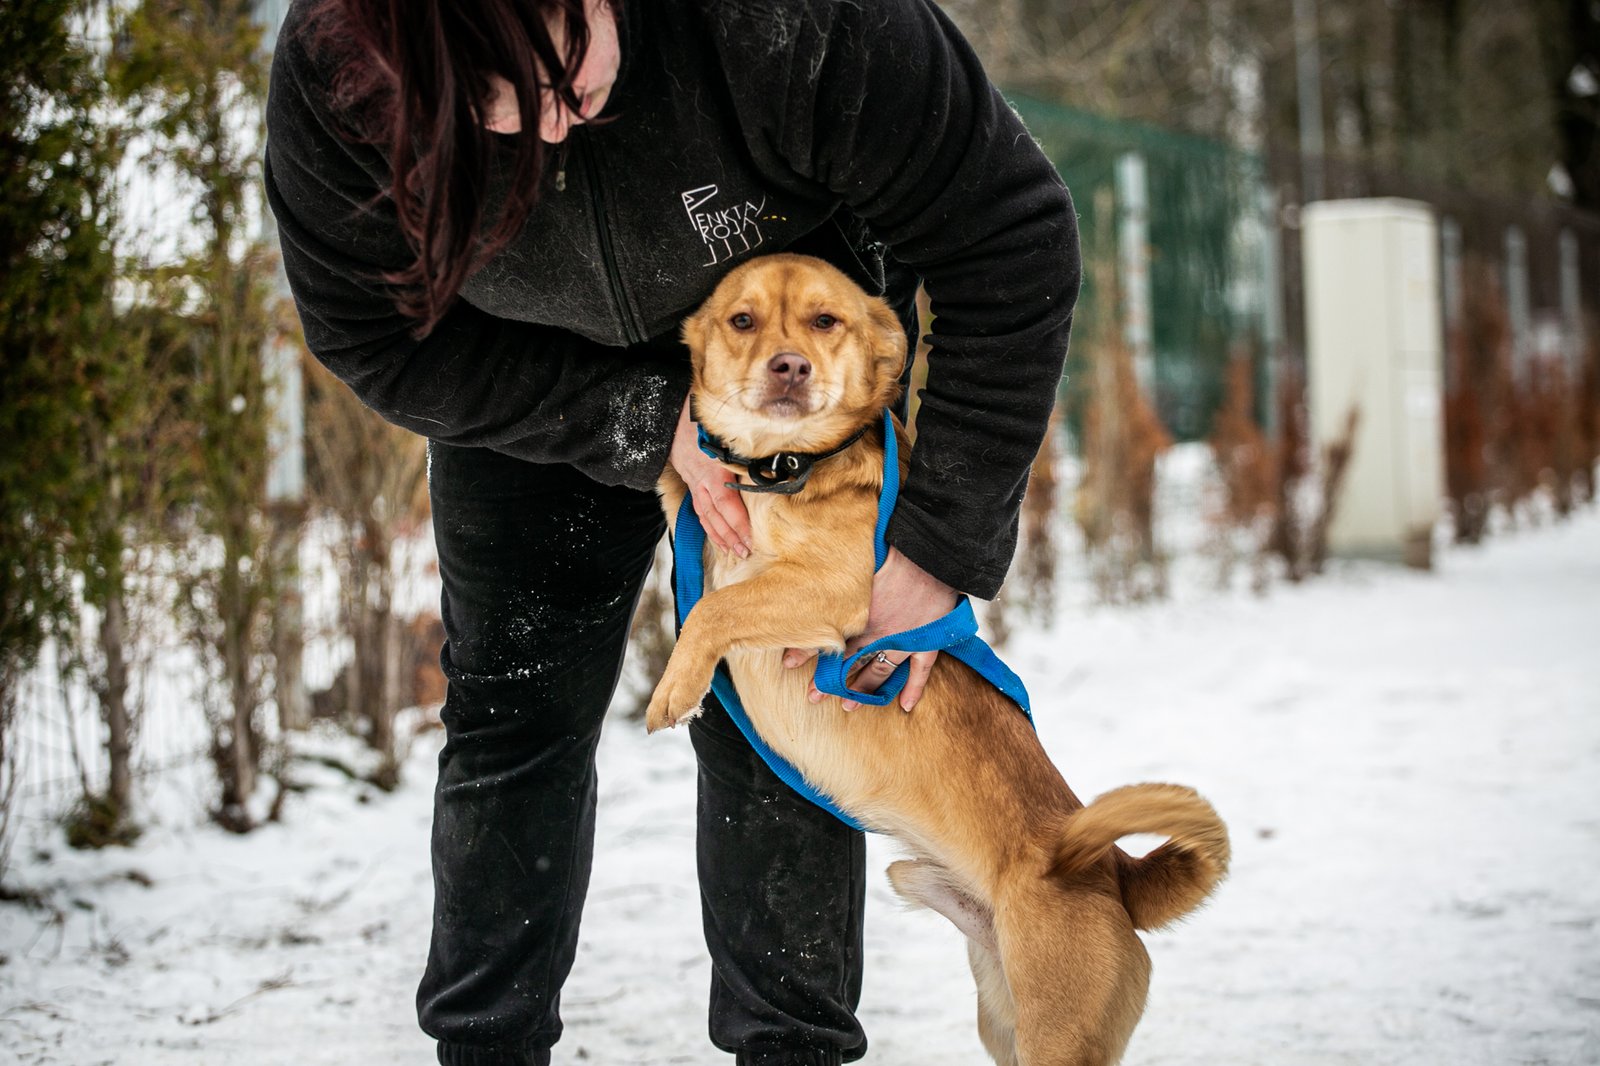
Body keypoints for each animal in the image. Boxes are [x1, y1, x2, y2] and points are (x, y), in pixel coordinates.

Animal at [648, 253, 1229, 1066]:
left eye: (825, 320)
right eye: (742, 320)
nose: (789, 366)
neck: (780, 470)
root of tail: (1113, 876)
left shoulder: (836, 594)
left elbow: (715, 610)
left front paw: (672, 688)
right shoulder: (698, 516)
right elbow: (688, 500)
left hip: (1056, 1039)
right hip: (999, 1020)